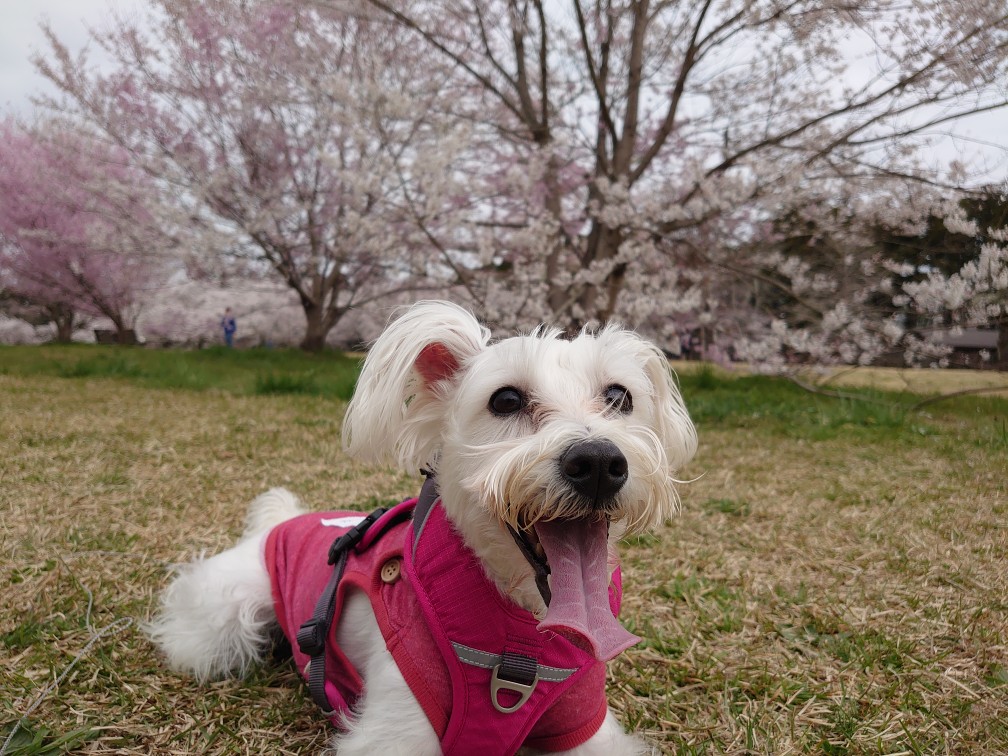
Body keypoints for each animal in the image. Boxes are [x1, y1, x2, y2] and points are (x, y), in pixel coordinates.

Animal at [149, 304, 697, 756]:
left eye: (619, 396)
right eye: (506, 399)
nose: (599, 462)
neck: (521, 633)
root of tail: (280, 522)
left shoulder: (584, 725)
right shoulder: (397, 732)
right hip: (222, 622)